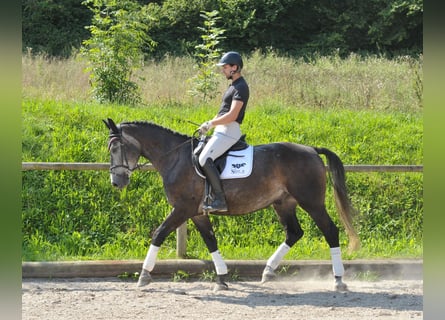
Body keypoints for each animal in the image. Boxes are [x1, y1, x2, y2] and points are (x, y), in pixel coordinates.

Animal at [102, 118, 360, 292]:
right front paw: (222, 279)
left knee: (330, 231)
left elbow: (159, 233)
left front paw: (144, 275)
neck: (175, 158)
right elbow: (211, 241)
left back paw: (338, 280)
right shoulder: (197, 213)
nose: (116, 182)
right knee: (294, 232)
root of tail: (311, 150)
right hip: (283, 203)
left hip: (312, 202)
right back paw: (268, 271)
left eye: (117, 148)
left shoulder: (182, 209)